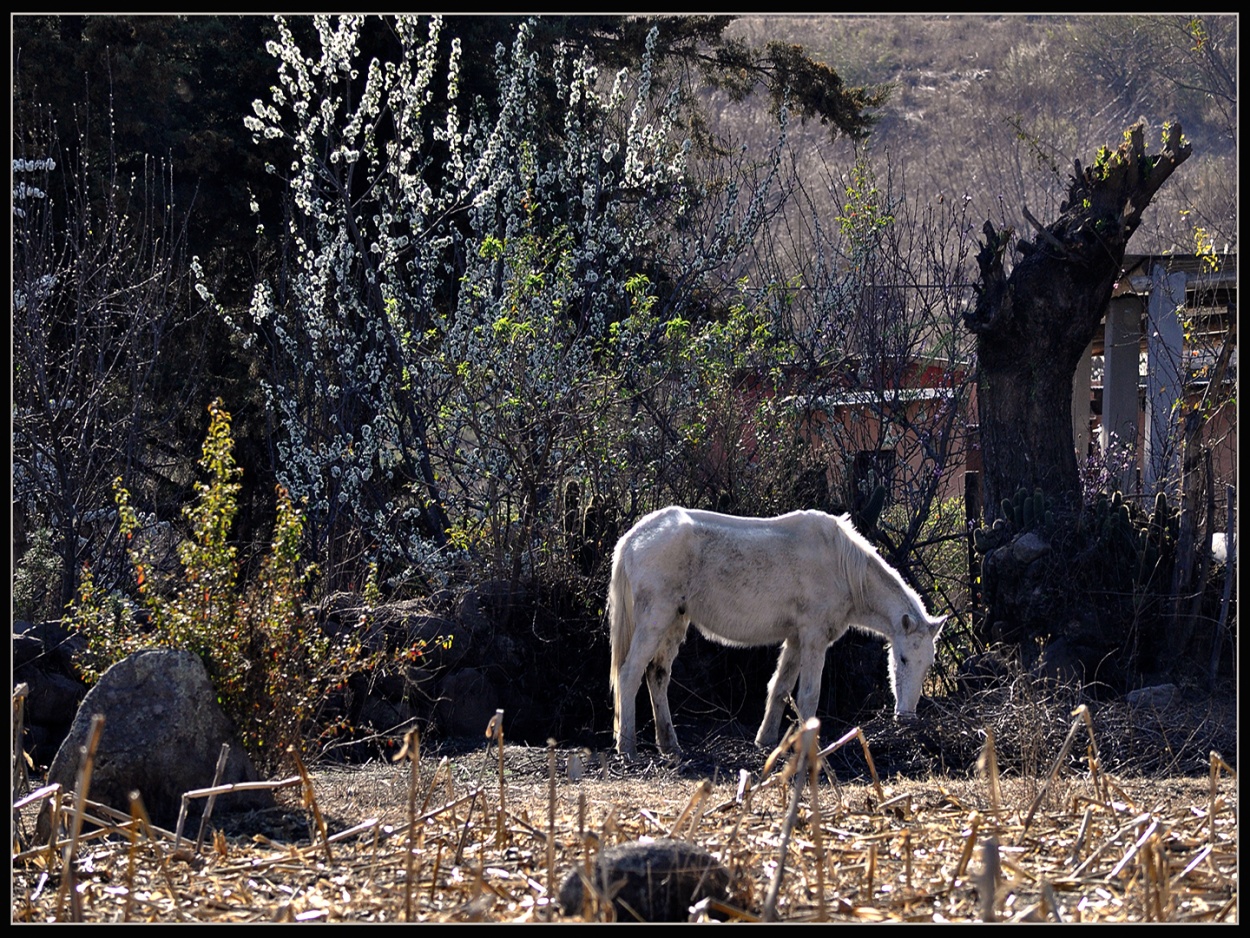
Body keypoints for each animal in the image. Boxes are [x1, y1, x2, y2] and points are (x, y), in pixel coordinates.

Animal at [607, 507, 945, 755]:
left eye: (927, 664)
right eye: (902, 659)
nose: (906, 718)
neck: (841, 566)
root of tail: (634, 537)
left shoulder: (795, 639)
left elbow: (780, 689)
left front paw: (766, 741)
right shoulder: (813, 638)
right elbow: (808, 695)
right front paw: (810, 748)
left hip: (674, 623)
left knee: (657, 676)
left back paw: (669, 745)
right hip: (656, 619)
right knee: (630, 674)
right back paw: (627, 748)